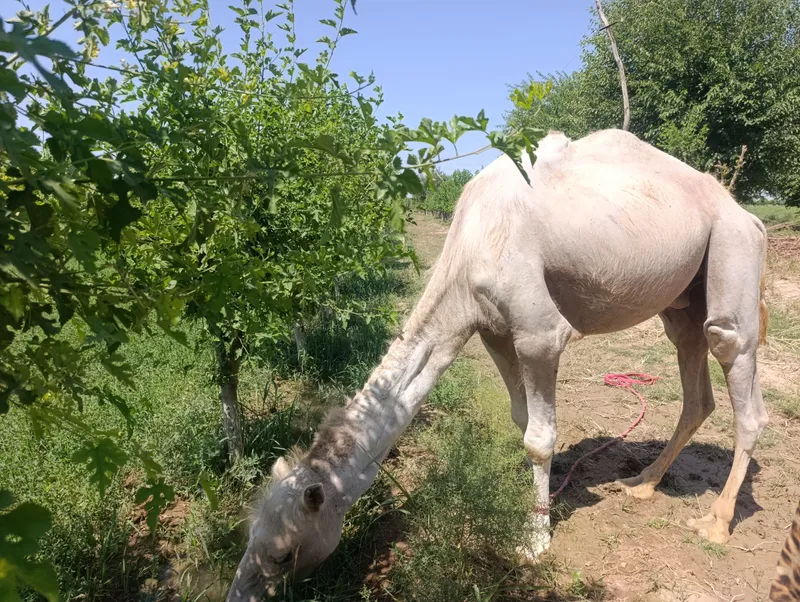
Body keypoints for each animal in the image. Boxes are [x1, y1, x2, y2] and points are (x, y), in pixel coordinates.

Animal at [225, 128, 769, 601]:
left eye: (282, 554)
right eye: (248, 538)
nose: (236, 595)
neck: (470, 245)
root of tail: (748, 213)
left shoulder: (539, 335)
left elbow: (540, 437)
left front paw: (535, 539)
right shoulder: (493, 332)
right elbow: (521, 420)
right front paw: (533, 502)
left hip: (733, 251)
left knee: (736, 366)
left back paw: (717, 522)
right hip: (681, 299)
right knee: (695, 384)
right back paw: (641, 483)